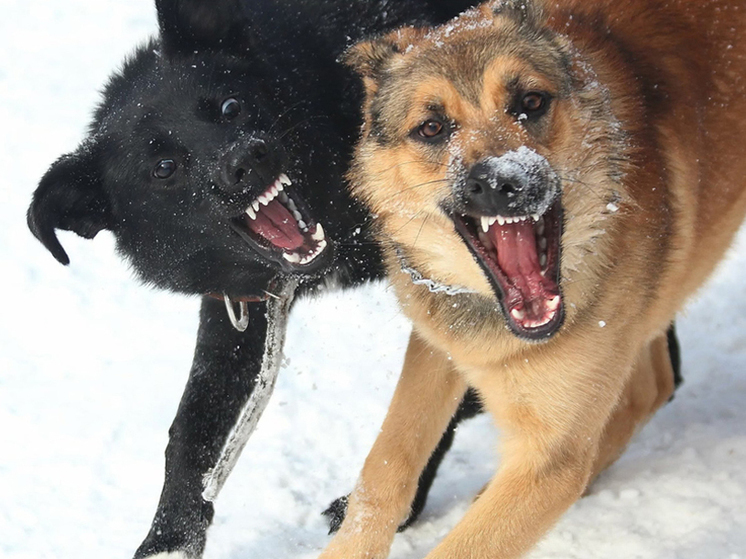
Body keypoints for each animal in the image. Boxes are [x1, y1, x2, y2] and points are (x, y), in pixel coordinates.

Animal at [27, 1, 482, 559]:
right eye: (163, 166)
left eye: (230, 107)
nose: (246, 159)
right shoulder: (239, 309)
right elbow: (192, 430)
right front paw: (169, 539)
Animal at [316, 1, 744, 559]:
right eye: (432, 128)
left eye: (531, 102)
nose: (503, 181)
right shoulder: (439, 341)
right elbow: (384, 467)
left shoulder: (550, 457)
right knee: (654, 384)